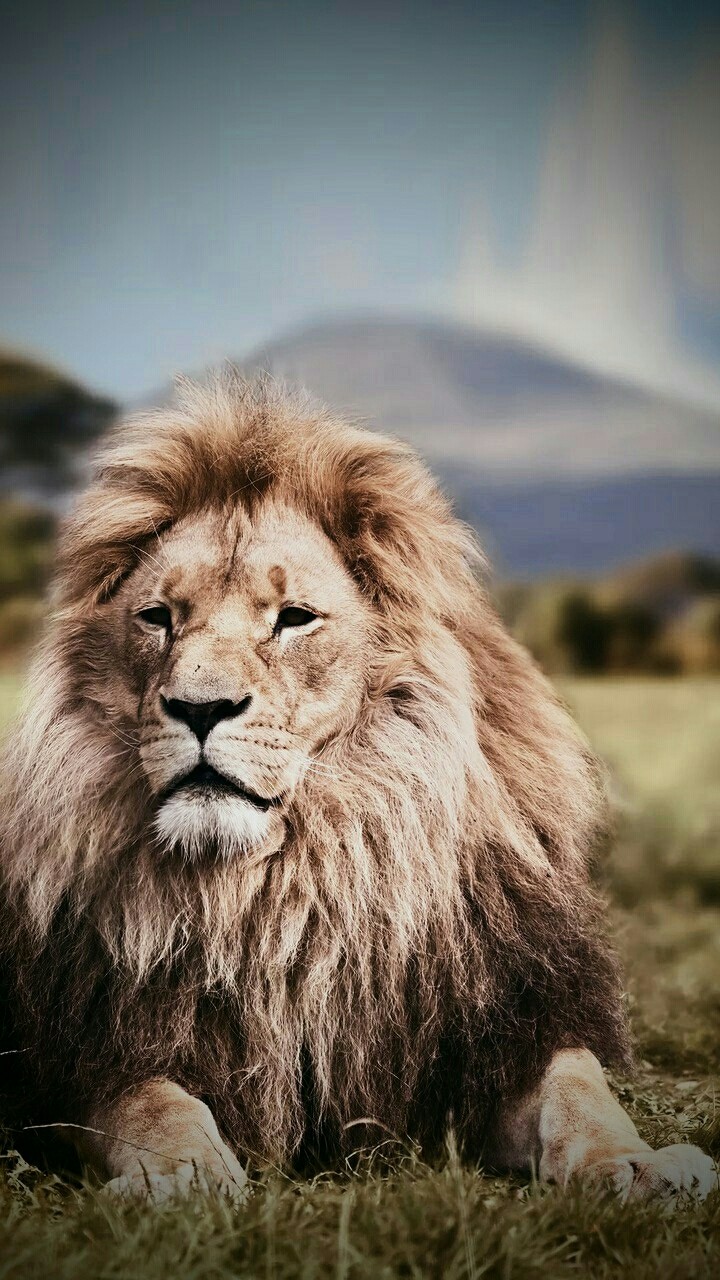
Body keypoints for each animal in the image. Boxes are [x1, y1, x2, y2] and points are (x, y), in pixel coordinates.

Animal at [0, 373, 715, 1204]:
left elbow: (578, 1090)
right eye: (157, 618)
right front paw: (183, 1176)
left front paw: (638, 1163)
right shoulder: (92, 1049)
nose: (199, 708)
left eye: (293, 618)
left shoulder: (504, 1026)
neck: (292, 883)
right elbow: (154, 1104)